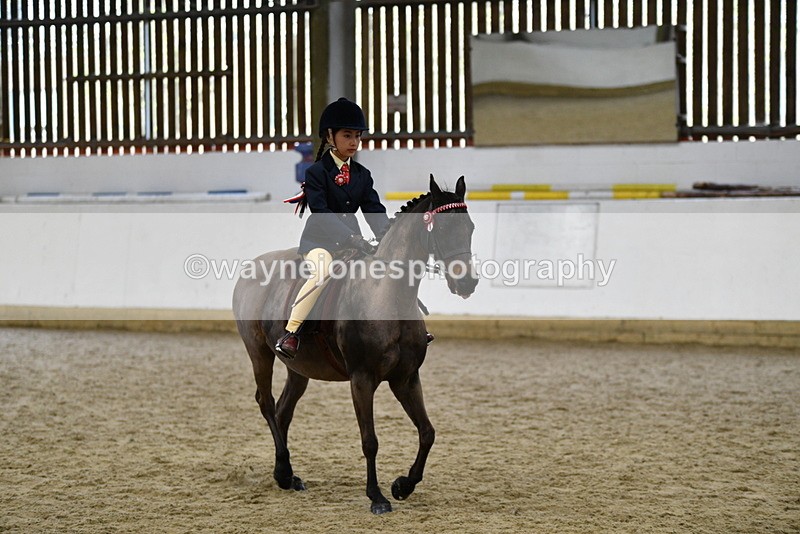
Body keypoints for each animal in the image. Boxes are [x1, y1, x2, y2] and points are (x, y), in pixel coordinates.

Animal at [232, 175, 478, 514]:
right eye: (441, 228)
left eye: (470, 228)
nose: (467, 282)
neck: (386, 294)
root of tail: (252, 266)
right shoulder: (362, 379)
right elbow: (369, 440)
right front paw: (377, 497)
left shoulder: (406, 378)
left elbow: (427, 432)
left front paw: (403, 485)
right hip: (258, 352)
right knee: (266, 402)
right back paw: (283, 471)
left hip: (299, 368)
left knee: (283, 411)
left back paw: (288, 475)